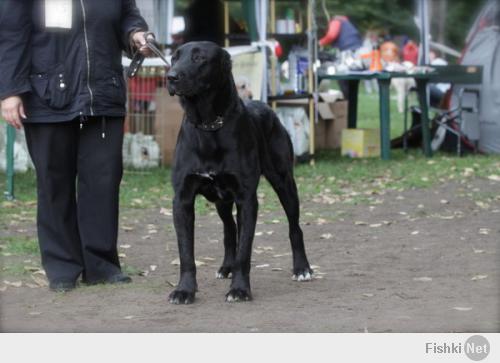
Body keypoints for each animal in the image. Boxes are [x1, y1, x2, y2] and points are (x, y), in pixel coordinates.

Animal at [166, 42, 310, 304]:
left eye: (199, 58)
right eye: (174, 57)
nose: (171, 77)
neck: (209, 124)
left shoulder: (246, 199)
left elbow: (245, 251)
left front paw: (240, 289)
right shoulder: (182, 200)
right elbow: (186, 253)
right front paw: (184, 290)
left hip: (284, 182)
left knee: (295, 228)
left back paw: (302, 268)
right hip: (222, 200)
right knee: (230, 228)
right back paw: (226, 267)